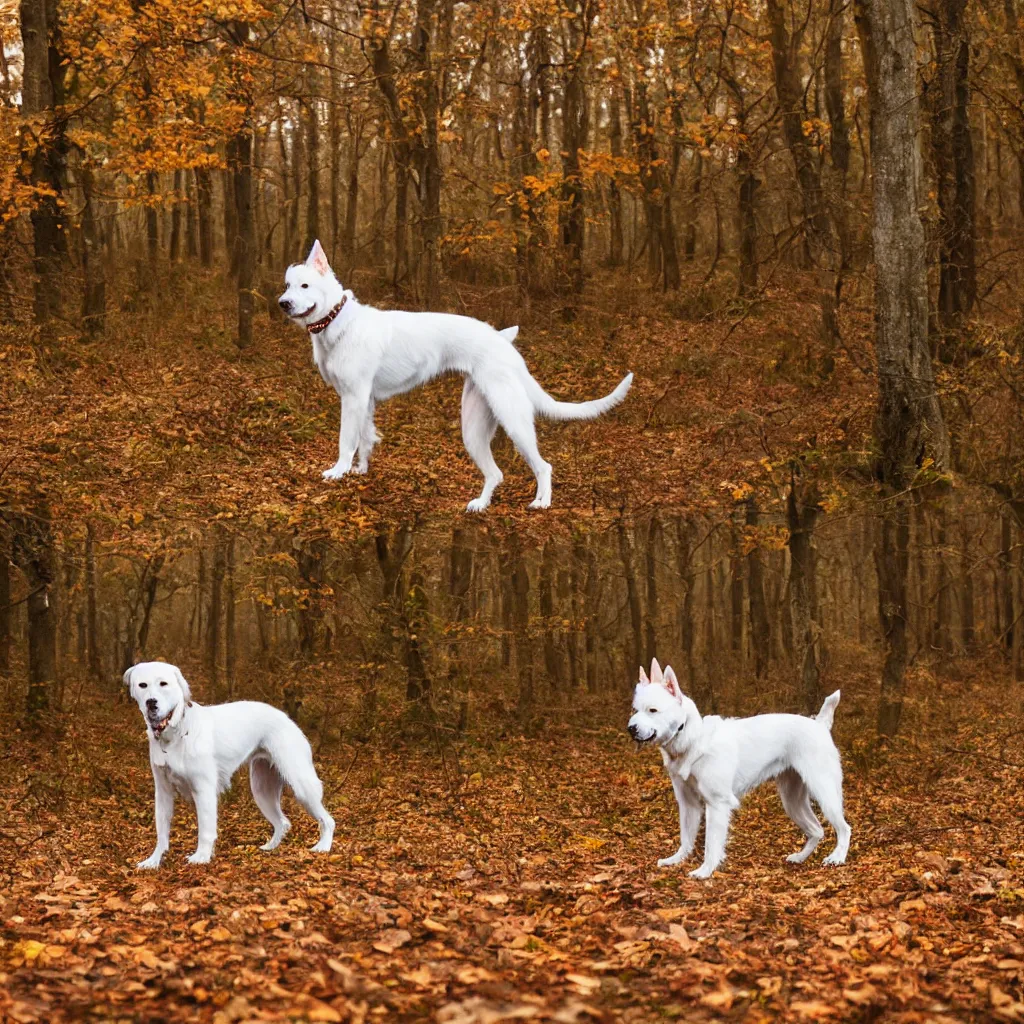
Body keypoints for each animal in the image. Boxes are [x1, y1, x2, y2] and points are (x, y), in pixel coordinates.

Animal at [123, 659, 331, 868]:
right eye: (143, 685)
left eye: (163, 684)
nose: (151, 703)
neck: (177, 733)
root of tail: (285, 717)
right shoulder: (163, 792)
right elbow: (162, 833)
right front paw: (154, 860)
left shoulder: (204, 790)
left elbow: (205, 830)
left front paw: (201, 857)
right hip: (262, 791)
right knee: (283, 822)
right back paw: (270, 847)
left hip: (301, 786)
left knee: (328, 820)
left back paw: (323, 847)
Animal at [276, 240, 634, 512]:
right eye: (288, 285)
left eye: (305, 286)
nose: (283, 303)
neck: (338, 323)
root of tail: (504, 343)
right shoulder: (363, 400)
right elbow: (365, 439)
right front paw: (359, 472)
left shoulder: (352, 399)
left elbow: (346, 441)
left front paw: (338, 472)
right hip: (473, 428)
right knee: (496, 474)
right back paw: (480, 505)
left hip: (514, 421)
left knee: (542, 466)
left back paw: (541, 503)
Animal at [626, 659, 851, 876]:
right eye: (636, 710)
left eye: (653, 710)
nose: (631, 729)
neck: (693, 740)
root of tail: (820, 724)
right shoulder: (688, 803)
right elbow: (686, 839)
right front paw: (676, 860)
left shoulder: (717, 804)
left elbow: (711, 845)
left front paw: (705, 871)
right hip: (792, 800)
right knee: (816, 830)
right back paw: (800, 857)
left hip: (825, 793)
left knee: (844, 828)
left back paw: (837, 857)